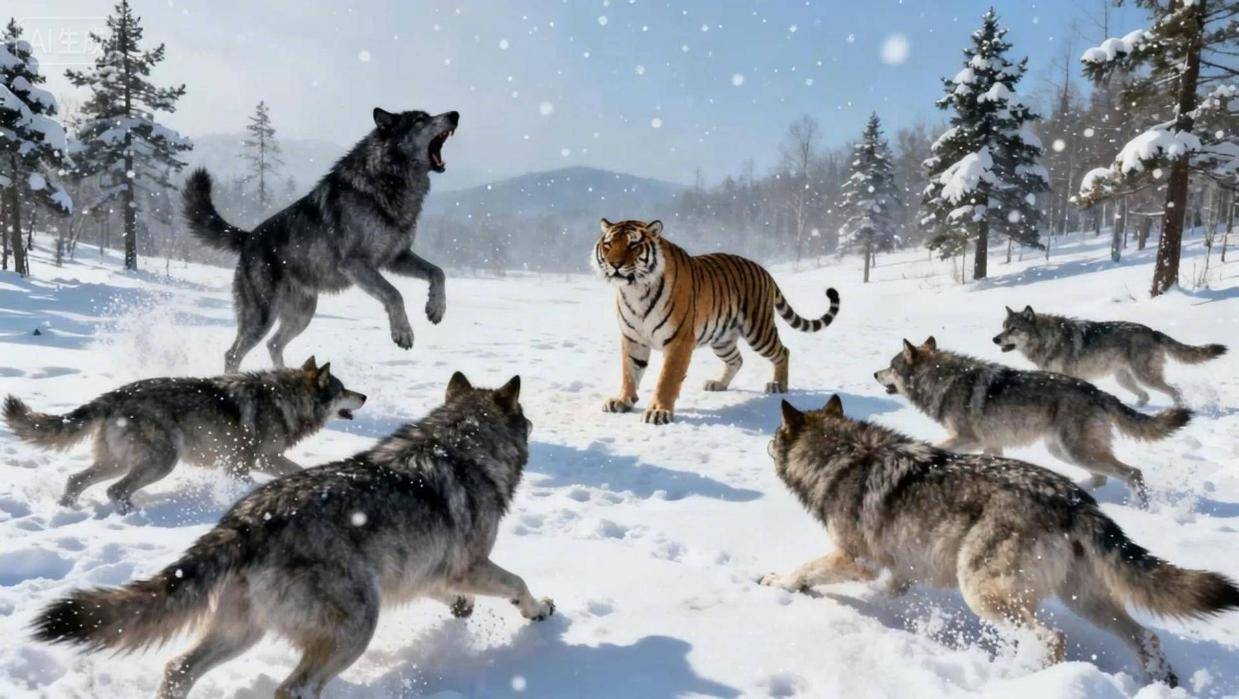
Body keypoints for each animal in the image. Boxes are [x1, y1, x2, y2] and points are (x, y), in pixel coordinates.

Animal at [592, 218, 841, 425]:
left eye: (633, 245)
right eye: (608, 245)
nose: (614, 264)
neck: (635, 290)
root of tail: (764, 270)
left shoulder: (678, 341)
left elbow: (666, 379)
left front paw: (658, 412)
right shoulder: (633, 338)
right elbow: (629, 371)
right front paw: (622, 401)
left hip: (758, 331)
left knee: (783, 351)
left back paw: (778, 385)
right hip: (722, 338)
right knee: (737, 359)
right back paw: (719, 384)